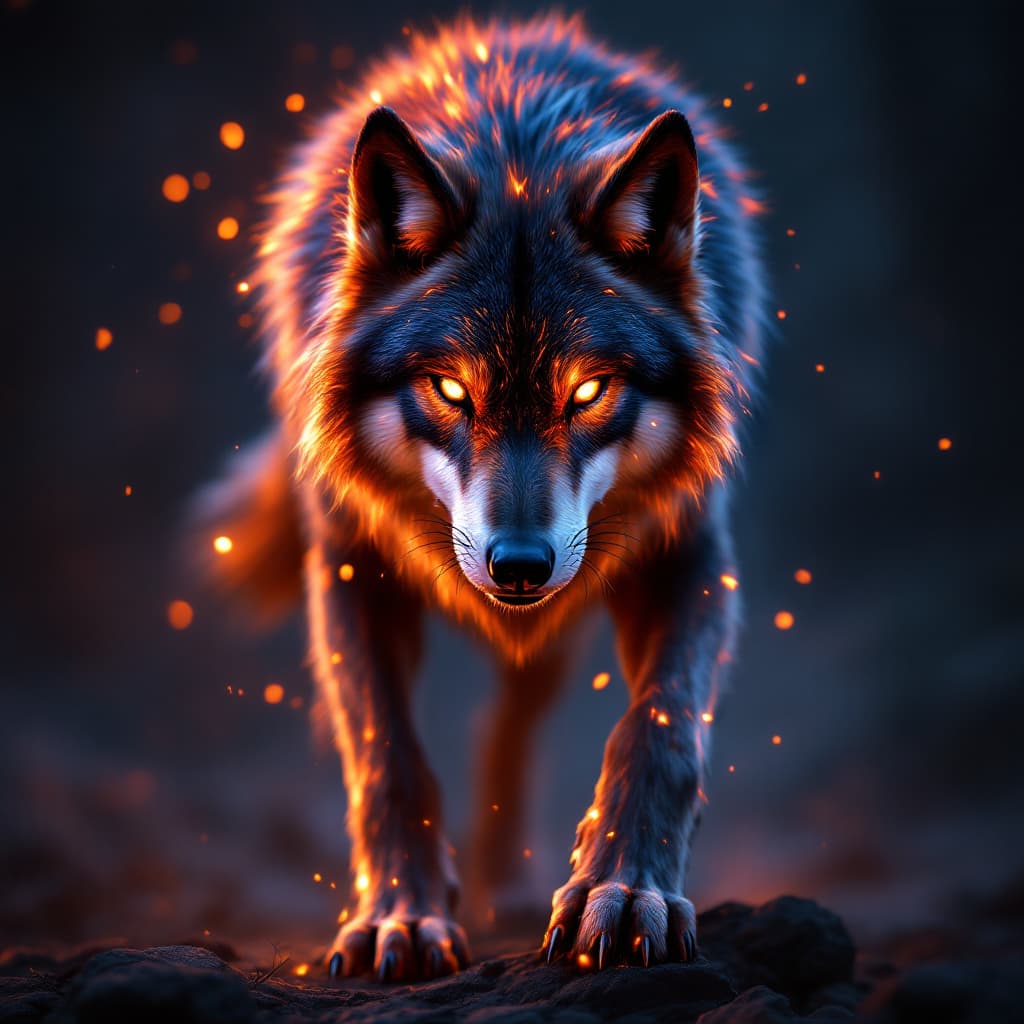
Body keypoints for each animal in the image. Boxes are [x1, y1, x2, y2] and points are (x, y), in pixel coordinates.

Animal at [200, 13, 767, 982]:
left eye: (588, 391)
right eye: (451, 390)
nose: (520, 566)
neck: (520, 149)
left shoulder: (691, 553)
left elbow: (658, 732)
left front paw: (625, 892)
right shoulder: (349, 565)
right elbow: (387, 754)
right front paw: (399, 917)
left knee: (513, 723)